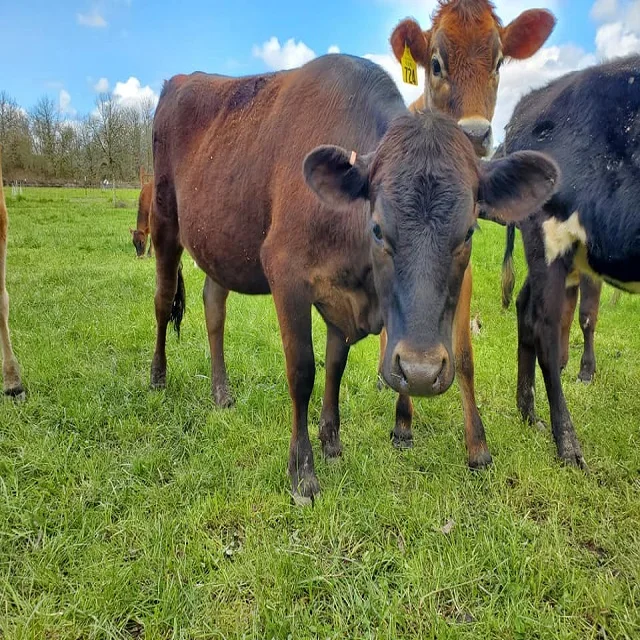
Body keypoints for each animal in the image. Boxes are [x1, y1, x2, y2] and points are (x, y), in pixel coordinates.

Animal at [150, 54, 559, 503]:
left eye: (469, 231)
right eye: (377, 228)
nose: (419, 372)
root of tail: (181, 78)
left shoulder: (340, 297)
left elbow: (334, 364)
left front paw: (331, 441)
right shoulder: (285, 273)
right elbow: (303, 371)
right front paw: (303, 472)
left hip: (219, 243)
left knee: (214, 306)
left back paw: (221, 393)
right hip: (164, 219)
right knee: (163, 300)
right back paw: (157, 377)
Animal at [377, 0, 556, 449]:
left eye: (498, 62)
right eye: (436, 63)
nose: (475, 133)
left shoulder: (465, 257)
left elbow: (464, 354)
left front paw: (478, 444)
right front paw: (403, 421)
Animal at [499, 55, 640, 469]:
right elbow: (584, 316)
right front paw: (584, 372)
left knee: (526, 307)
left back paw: (529, 413)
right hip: (551, 240)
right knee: (543, 324)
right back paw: (567, 443)